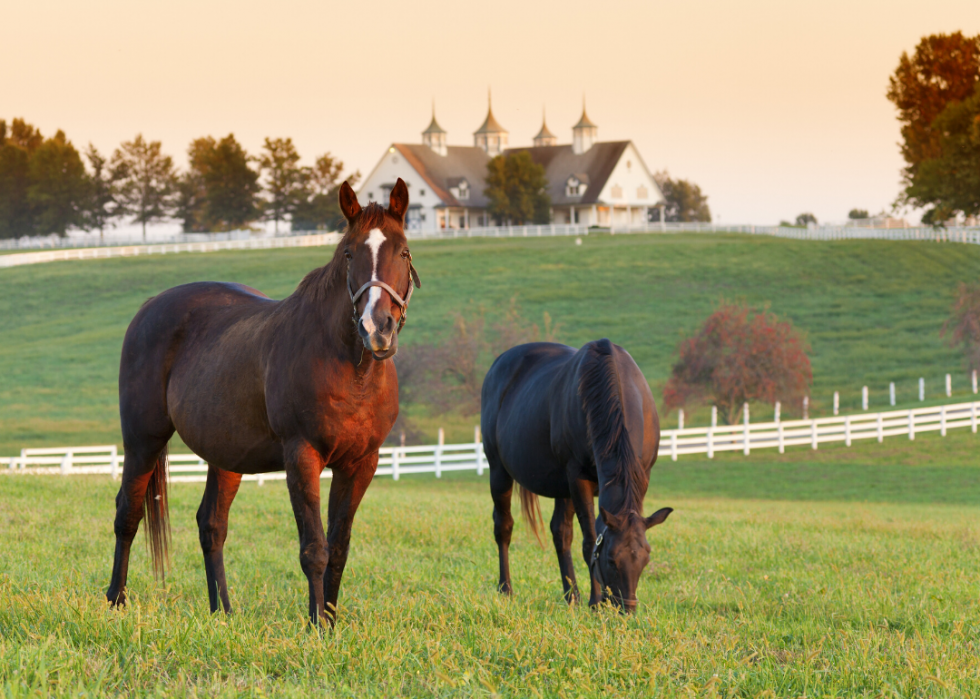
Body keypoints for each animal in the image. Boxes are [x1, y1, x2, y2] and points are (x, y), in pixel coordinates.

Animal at [105, 180, 420, 628]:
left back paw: (222, 611)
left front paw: (330, 621)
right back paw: (116, 600)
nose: (377, 328)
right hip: (142, 441)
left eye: (403, 252)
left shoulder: (361, 463)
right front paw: (316, 627)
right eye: (348, 253)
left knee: (211, 525)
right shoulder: (302, 456)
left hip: (226, 455)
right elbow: (314, 548)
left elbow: (339, 548)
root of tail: (150, 306)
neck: (350, 369)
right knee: (128, 514)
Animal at [482, 340, 672, 612]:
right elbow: (590, 541)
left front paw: (590, 599)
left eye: (645, 558)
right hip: (499, 471)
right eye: (611, 560)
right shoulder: (578, 479)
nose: (626, 609)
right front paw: (595, 602)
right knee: (503, 527)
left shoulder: (641, 477)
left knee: (560, 533)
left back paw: (571, 596)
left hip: (561, 487)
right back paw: (506, 589)